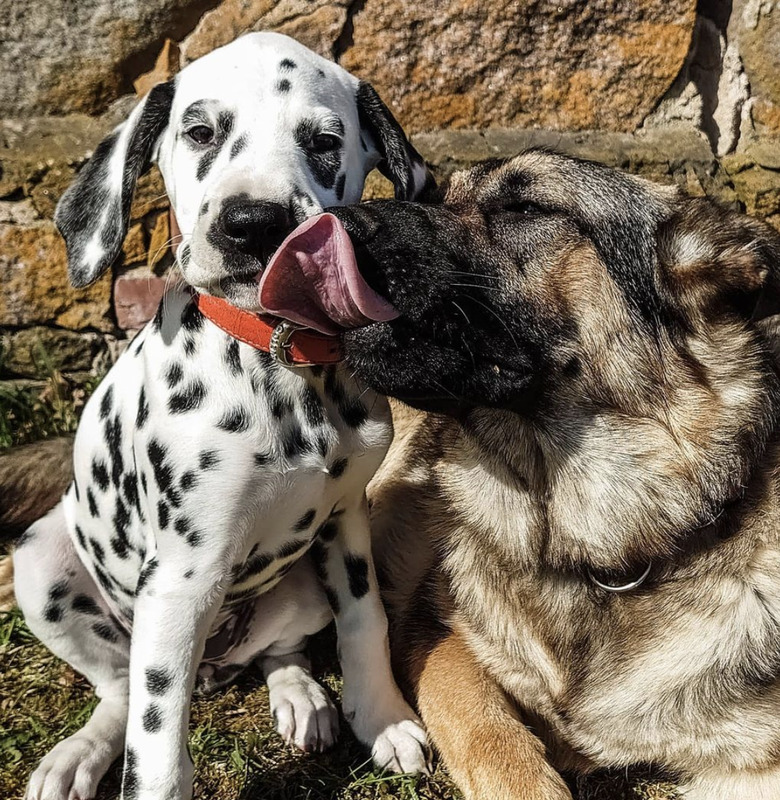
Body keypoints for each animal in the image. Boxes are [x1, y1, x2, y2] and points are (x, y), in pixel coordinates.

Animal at [15, 32, 432, 800]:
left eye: (324, 141)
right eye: (201, 131)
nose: (252, 224)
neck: (279, 362)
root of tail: (216, 664)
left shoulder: (347, 519)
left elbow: (367, 619)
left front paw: (383, 716)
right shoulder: (181, 576)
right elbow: (154, 738)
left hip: (300, 589)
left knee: (282, 650)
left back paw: (302, 698)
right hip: (42, 565)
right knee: (120, 691)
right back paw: (77, 756)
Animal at [324, 152, 780, 800]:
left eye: (524, 207)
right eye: (437, 196)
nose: (333, 220)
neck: (604, 556)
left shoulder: (756, 767)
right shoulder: (443, 642)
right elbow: (497, 745)